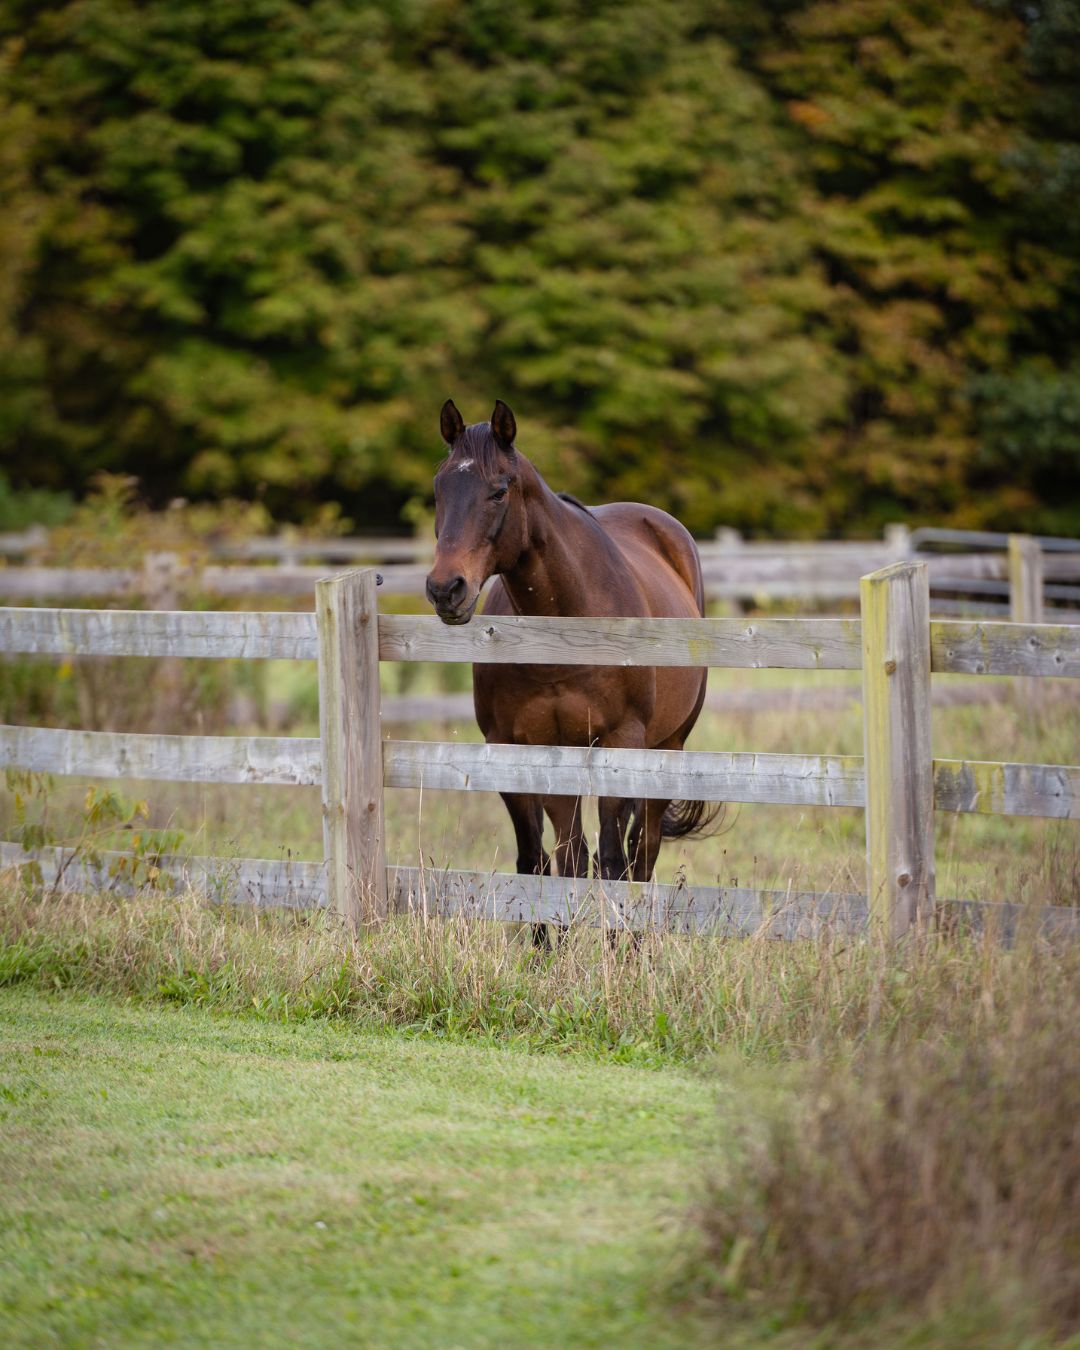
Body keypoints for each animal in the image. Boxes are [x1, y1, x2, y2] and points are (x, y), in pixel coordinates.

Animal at [425, 398, 719, 921]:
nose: (446, 589)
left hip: (668, 747)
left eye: (499, 490)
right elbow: (543, 863)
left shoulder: (621, 743)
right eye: (440, 489)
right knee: (577, 855)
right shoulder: (520, 747)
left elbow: (613, 863)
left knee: (641, 856)